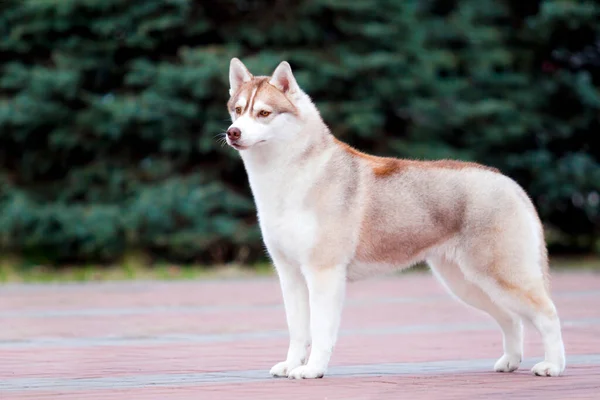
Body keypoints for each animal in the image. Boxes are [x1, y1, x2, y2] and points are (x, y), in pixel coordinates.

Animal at [225, 57, 568, 380]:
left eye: (264, 113)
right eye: (238, 110)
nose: (233, 132)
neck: (287, 179)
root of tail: (508, 181)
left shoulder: (324, 273)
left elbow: (320, 330)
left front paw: (312, 369)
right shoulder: (290, 275)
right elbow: (297, 330)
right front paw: (291, 365)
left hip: (502, 275)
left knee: (549, 314)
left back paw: (553, 365)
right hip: (466, 283)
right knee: (511, 319)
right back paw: (510, 361)